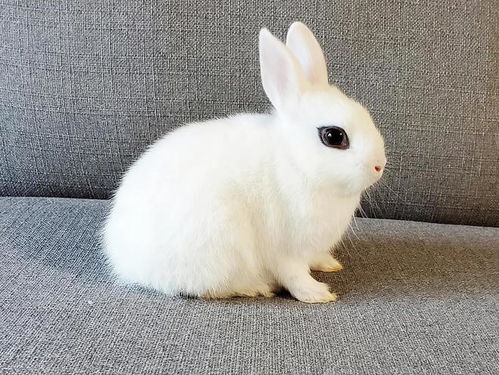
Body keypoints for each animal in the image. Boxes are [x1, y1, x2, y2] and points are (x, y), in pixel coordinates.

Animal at [102, 22, 386, 304]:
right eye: (334, 136)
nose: (379, 166)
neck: (295, 161)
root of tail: (124, 261)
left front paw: (329, 264)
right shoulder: (285, 250)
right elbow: (294, 276)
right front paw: (318, 294)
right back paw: (257, 287)